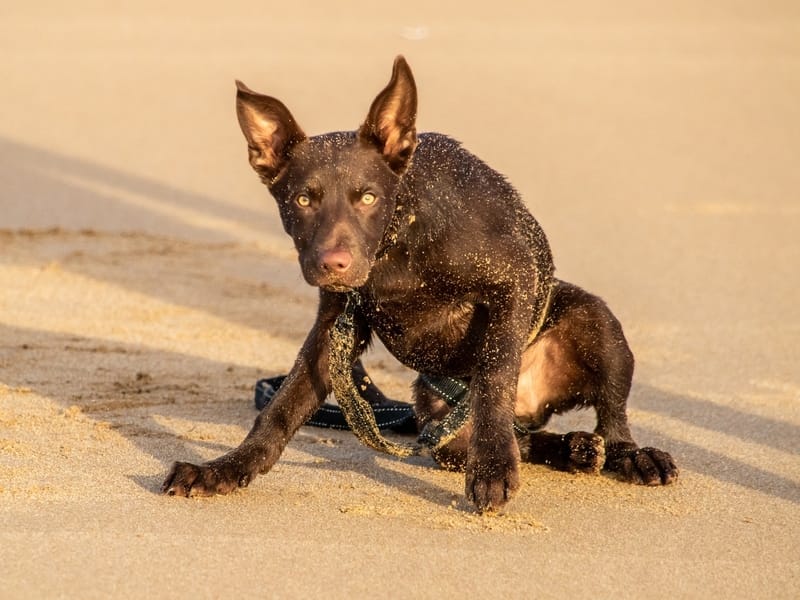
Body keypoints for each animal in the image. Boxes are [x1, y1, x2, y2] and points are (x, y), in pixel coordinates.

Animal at [166, 55, 680, 510]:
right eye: (303, 199)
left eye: (368, 197)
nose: (334, 264)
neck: (397, 241)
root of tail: (534, 405)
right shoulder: (334, 327)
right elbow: (280, 409)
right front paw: (225, 468)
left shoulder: (512, 282)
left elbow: (494, 375)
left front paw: (492, 468)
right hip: (435, 411)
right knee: (513, 439)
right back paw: (572, 448)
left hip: (596, 323)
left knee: (609, 417)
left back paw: (630, 455)